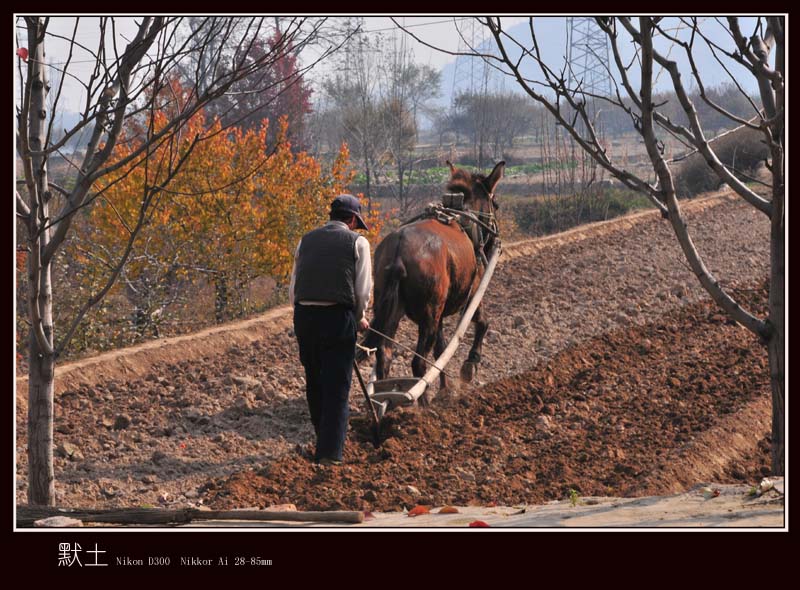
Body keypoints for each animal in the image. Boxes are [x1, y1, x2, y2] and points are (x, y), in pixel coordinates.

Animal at [360, 161, 504, 402]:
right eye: (496, 204)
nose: (495, 238)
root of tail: (399, 252)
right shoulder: (473, 292)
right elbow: (482, 322)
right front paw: (470, 365)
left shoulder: (440, 314)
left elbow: (440, 349)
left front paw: (445, 389)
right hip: (429, 314)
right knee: (418, 362)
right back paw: (422, 402)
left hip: (394, 309)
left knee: (385, 354)